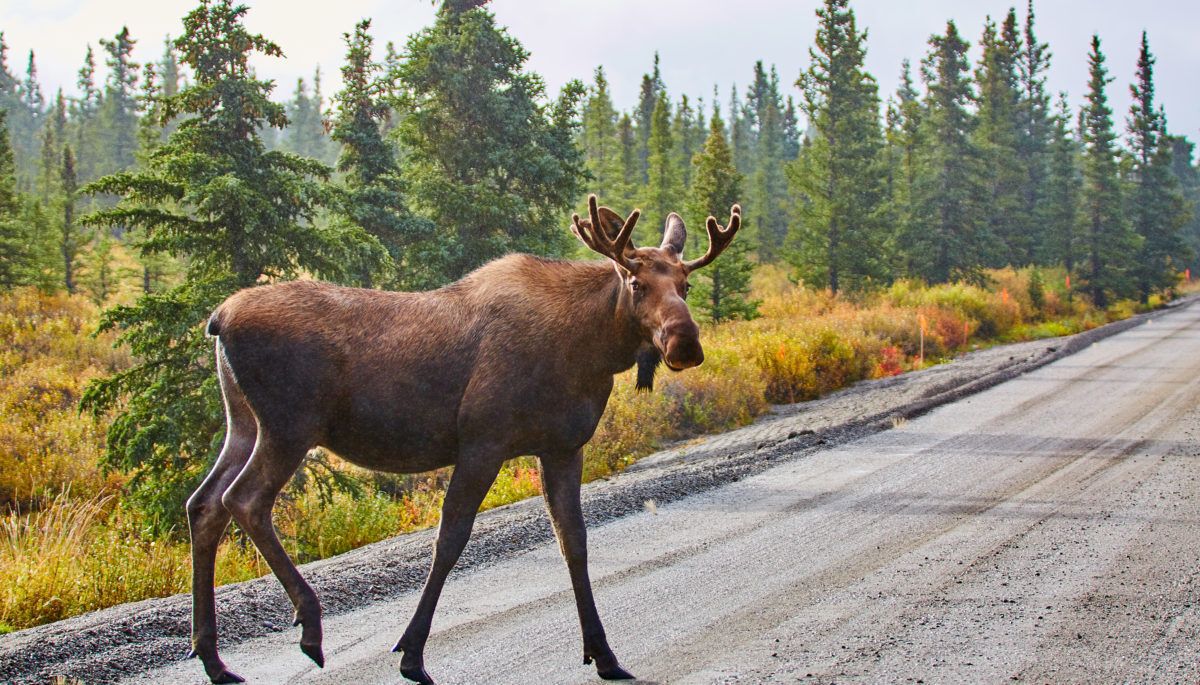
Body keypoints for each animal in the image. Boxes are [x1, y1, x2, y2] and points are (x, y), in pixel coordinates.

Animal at [186, 195, 741, 684]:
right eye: (635, 281)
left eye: (686, 283)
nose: (685, 342)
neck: (590, 350)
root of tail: (217, 319)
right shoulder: (482, 441)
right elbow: (450, 539)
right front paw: (411, 654)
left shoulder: (562, 447)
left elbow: (574, 542)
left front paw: (603, 654)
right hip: (289, 426)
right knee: (244, 500)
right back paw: (309, 626)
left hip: (243, 424)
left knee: (204, 504)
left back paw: (214, 660)